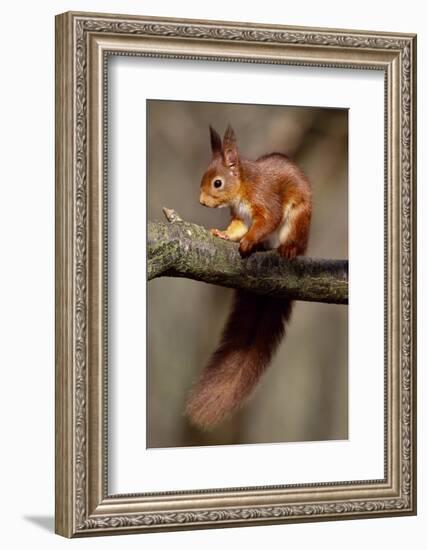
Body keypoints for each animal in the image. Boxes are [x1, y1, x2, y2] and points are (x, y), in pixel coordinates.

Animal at [186, 125, 312, 432]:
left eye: (217, 183)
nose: (201, 202)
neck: (242, 187)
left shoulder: (265, 199)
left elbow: (267, 220)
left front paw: (248, 242)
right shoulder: (240, 217)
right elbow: (237, 227)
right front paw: (224, 235)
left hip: (298, 220)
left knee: (290, 237)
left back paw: (286, 249)